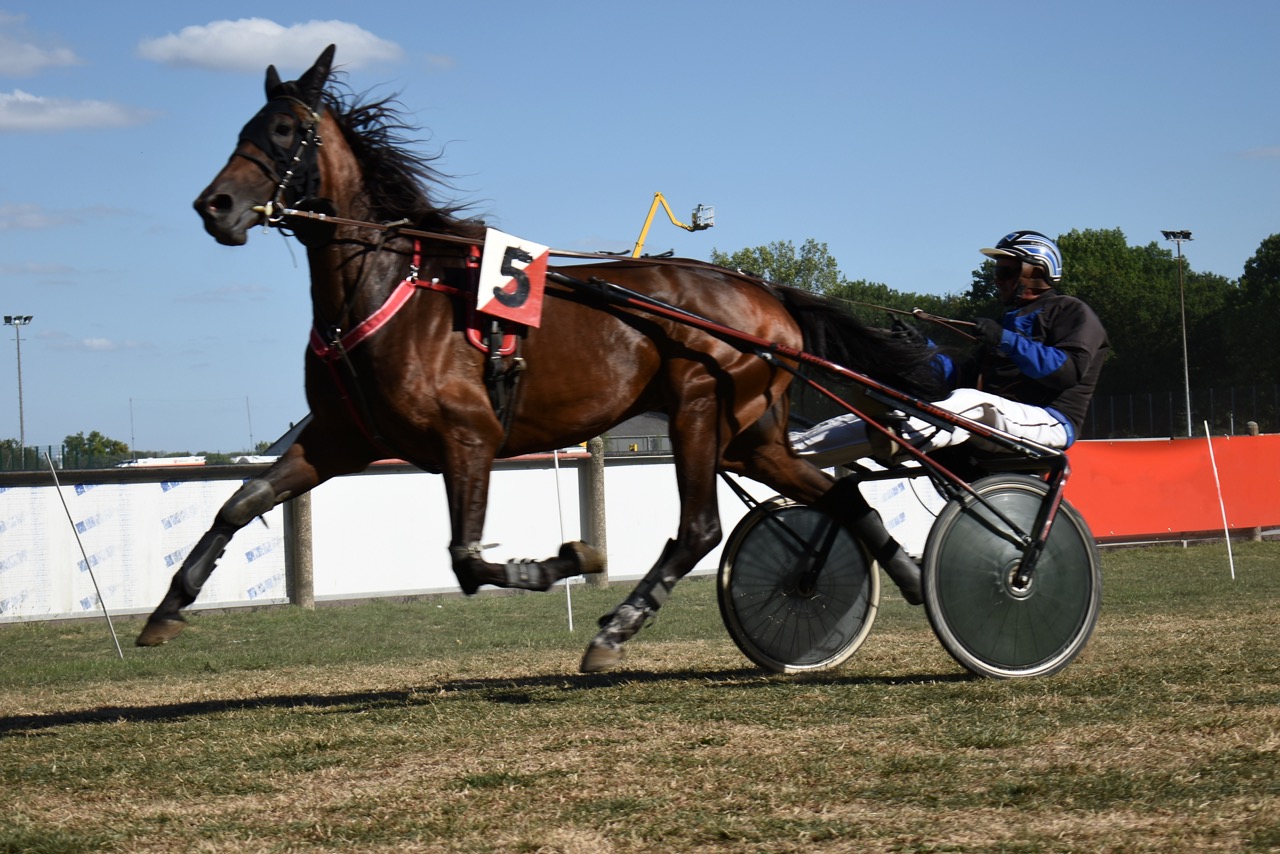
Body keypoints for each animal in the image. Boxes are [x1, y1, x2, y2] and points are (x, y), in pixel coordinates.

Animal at [140, 45, 947, 676]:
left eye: (283, 131)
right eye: (243, 129)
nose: (214, 206)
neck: (387, 288)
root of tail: (763, 292)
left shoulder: (469, 437)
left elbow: (468, 559)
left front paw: (569, 561)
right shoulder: (342, 438)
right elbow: (240, 501)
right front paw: (168, 607)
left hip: (699, 409)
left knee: (699, 529)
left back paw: (617, 627)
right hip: (753, 434)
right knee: (838, 495)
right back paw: (911, 575)